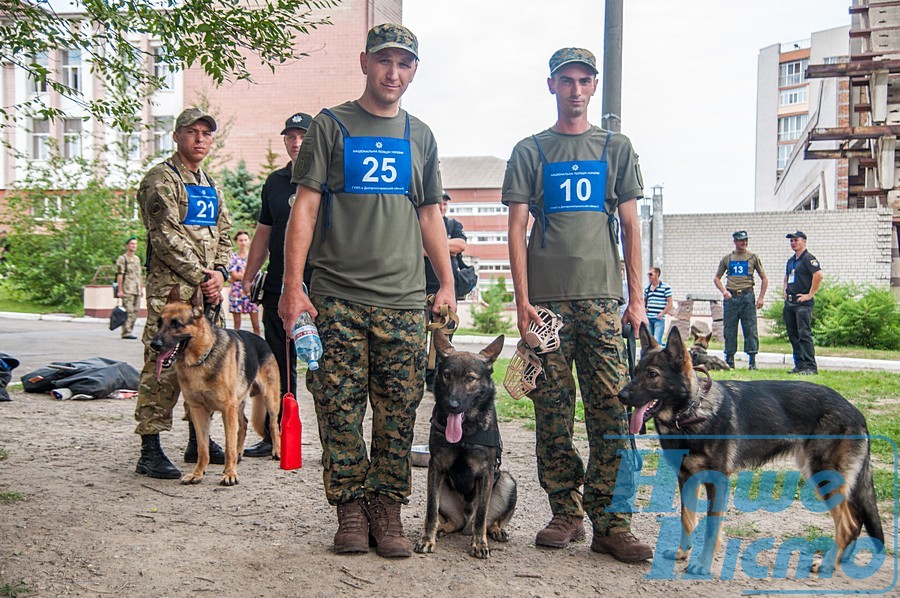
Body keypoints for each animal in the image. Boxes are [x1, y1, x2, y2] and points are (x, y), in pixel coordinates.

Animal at [150, 286, 282, 488]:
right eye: (159, 323)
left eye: (176, 324)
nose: (154, 345)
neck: (201, 358)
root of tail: (262, 340)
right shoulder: (198, 410)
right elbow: (203, 448)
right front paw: (197, 474)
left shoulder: (227, 409)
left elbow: (228, 446)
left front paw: (230, 474)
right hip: (239, 403)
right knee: (244, 424)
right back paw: (240, 452)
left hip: (270, 400)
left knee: (274, 425)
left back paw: (276, 451)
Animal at [414, 332, 516, 564]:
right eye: (447, 375)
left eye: (470, 379)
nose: (451, 405)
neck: (466, 429)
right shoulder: (436, 467)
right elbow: (430, 512)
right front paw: (427, 539)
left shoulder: (486, 472)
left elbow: (481, 516)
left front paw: (479, 544)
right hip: (441, 489)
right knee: (454, 522)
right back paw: (442, 528)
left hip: (507, 481)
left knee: (486, 520)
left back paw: (495, 530)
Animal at [624, 326, 884, 580]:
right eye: (635, 371)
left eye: (652, 374)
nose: (621, 396)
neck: (690, 412)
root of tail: (856, 411)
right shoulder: (686, 477)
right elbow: (686, 518)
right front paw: (682, 552)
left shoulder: (717, 481)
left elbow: (711, 526)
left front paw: (703, 564)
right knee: (856, 520)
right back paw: (841, 559)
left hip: (824, 477)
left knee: (848, 525)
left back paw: (828, 563)